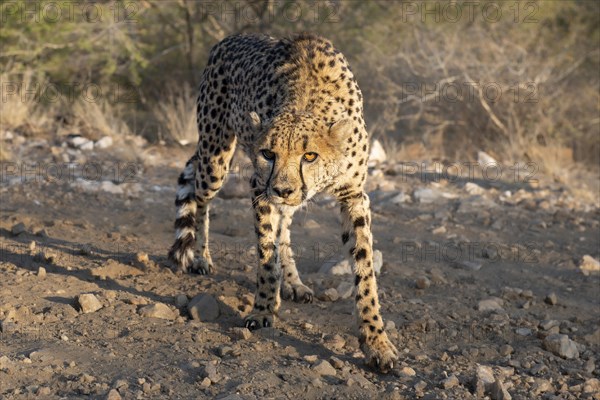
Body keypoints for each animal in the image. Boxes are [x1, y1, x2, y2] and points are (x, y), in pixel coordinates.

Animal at [168, 33, 398, 372]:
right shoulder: (258, 188)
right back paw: (201, 258)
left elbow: (365, 271)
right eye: (267, 153)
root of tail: (229, 38)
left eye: (310, 155)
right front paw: (264, 308)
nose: (282, 189)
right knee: (200, 196)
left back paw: (292, 282)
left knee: (285, 224)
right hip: (215, 158)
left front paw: (376, 341)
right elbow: (266, 255)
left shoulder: (353, 196)